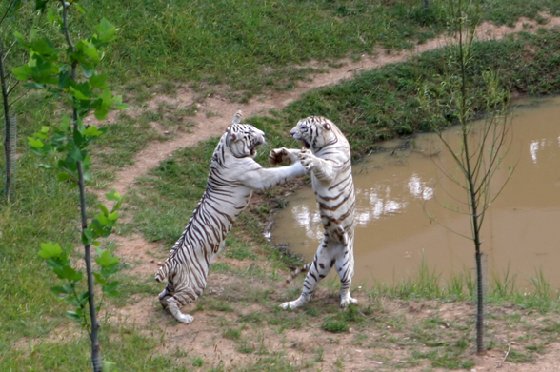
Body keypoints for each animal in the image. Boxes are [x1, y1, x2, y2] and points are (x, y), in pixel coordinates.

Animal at [154, 110, 306, 322]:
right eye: (249, 133)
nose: (264, 133)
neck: (225, 149)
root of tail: (172, 262)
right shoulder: (259, 176)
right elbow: (282, 172)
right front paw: (302, 164)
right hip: (195, 282)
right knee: (174, 301)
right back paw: (183, 318)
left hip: (174, 283)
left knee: (163, 296)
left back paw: (165, 307)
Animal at [272, 116, 356, 310]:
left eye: (303, 127)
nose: (290, 132)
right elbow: (296, 153)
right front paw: (280, 152)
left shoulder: (331, 168)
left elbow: (321, 163)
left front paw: (310, 157)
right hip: (319, 264)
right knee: (307, 292)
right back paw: (290, 305)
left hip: (345, 264)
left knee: (345, 284)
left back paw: (345, 302)